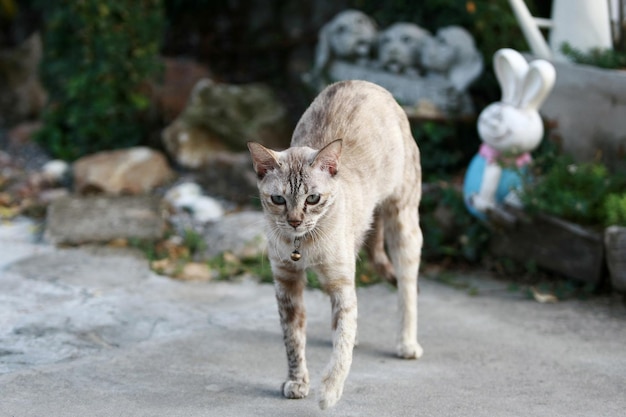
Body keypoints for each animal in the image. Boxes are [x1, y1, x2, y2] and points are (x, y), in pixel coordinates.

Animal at [246, 79, 422, 410]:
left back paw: (406, 343)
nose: (294, 221)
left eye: (313, 198)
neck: (303, 245)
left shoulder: (341, 281)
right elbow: (294, 339)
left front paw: (329, 392)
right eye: (278, 199)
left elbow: (342, 349)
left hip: (403, 223)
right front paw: (297, 382)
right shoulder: (287, 283)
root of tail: (366, 83)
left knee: (407, 288)